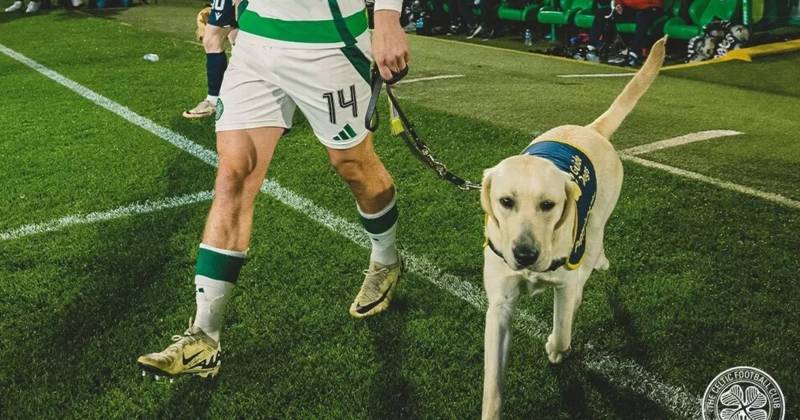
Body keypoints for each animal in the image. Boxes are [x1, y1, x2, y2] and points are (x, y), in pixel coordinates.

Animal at [482, 37, 668, 418]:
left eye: (548, 205)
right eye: (505, 202)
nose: (525, 254)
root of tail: (591, 130)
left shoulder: (564, 284)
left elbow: (564, 327)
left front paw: (557, 347)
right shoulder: (500, 304)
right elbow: (492, 384)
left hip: (594, 227)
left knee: (589, 258)